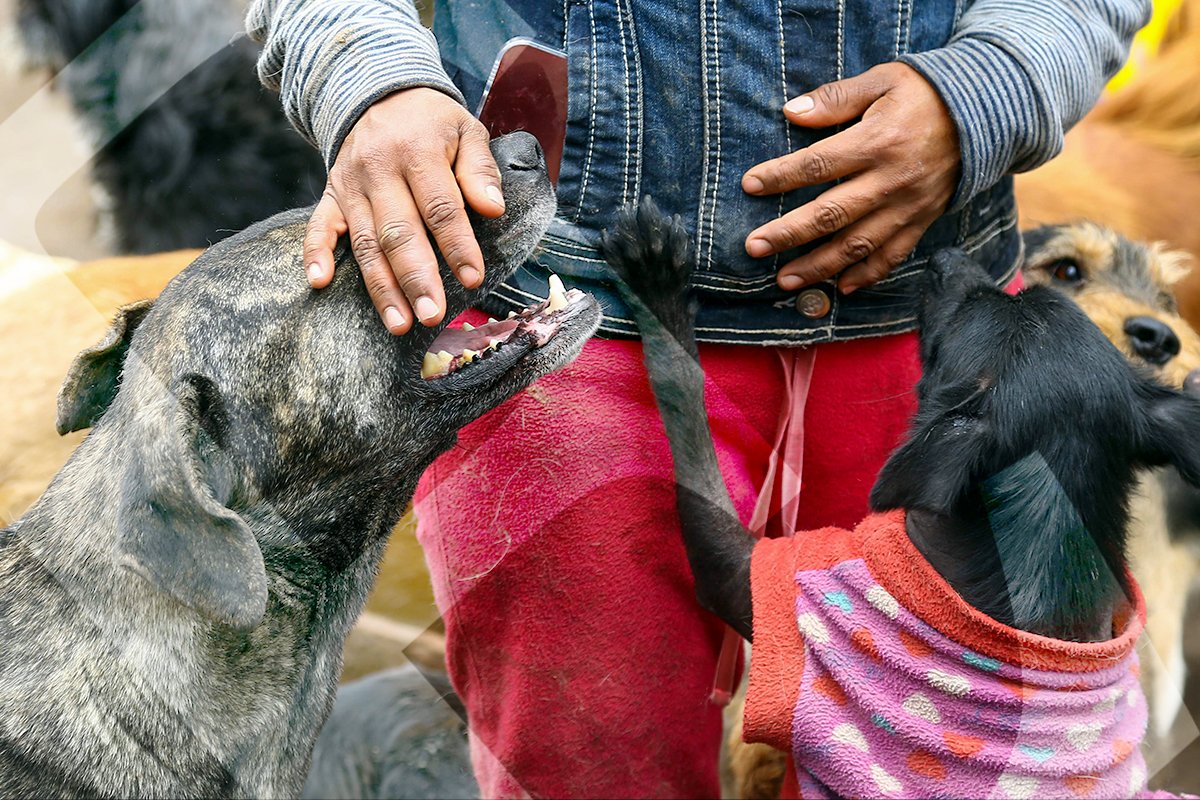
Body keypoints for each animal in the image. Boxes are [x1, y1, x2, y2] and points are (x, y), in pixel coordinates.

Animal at [607, 198, 1200, 797]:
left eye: (979, 305)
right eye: (1052, 281)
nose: (948, 252)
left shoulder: (753, 582)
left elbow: (686, 400)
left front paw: (658, 281)